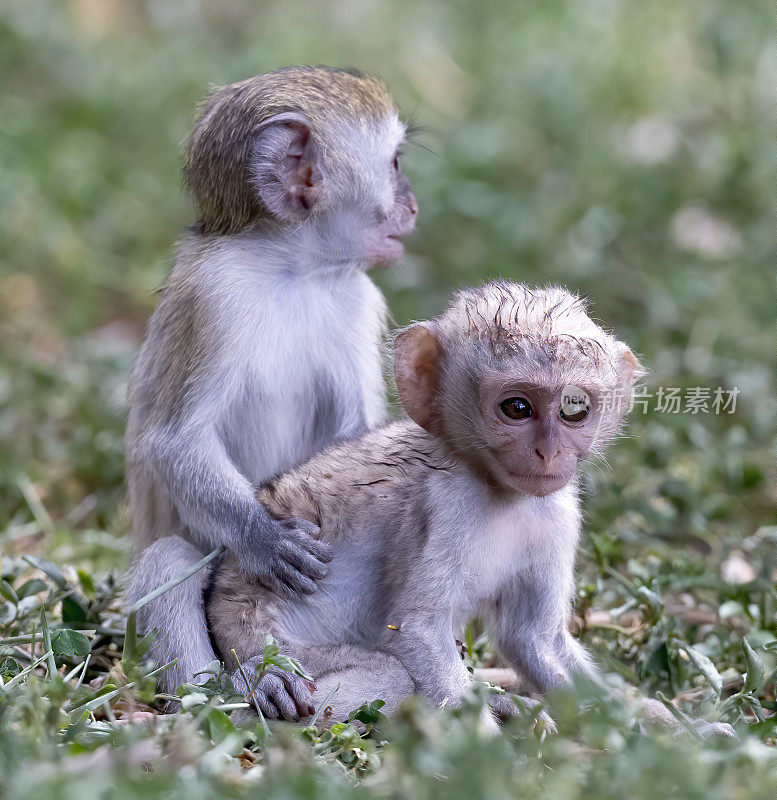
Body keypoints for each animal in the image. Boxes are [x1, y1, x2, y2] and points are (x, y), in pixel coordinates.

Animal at [127, 65, 418, 696]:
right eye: (394, 164)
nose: (412, 205)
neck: (291, 269)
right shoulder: (214, 300)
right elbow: (174, 441)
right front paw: (262, 538)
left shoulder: (356, 300)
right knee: (168, 559)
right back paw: (232, 692)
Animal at [205, 282, 644, 724]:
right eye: (517, 408)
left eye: (574, 409)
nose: (549, 452)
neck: (500, 490)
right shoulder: (449, 504)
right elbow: (419, 631)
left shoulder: (558, 513)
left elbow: (535, 639)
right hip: (261, 633)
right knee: (387, 674)